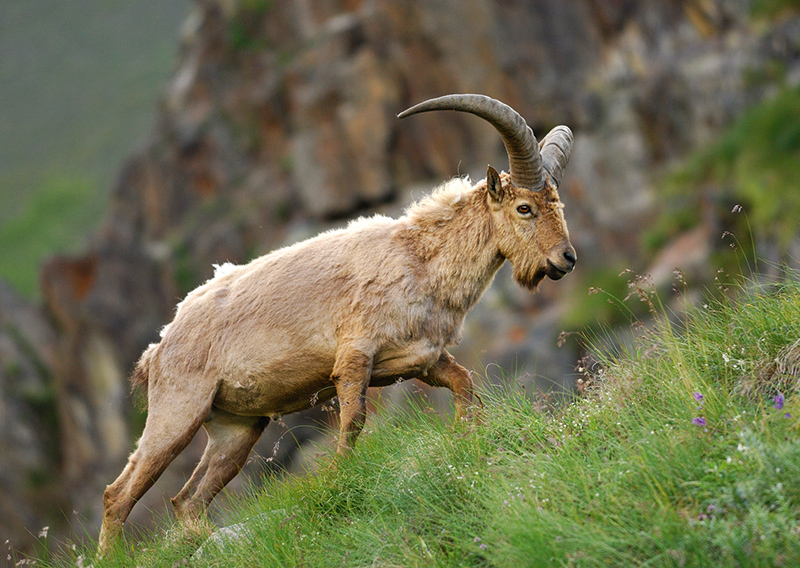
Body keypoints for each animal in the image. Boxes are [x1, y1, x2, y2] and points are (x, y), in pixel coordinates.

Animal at [98, 95, 576, 552]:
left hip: (235, 429)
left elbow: (464, 383)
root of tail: (160, 346)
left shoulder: (424, 359)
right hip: (179, 410)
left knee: (186, 499)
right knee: (118, 494)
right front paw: (339, 481)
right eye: (525, 207)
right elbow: (354, 419)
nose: (567, 259)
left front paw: (465, 436)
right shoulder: (354, 355)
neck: (421, 259)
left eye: (558, 205)